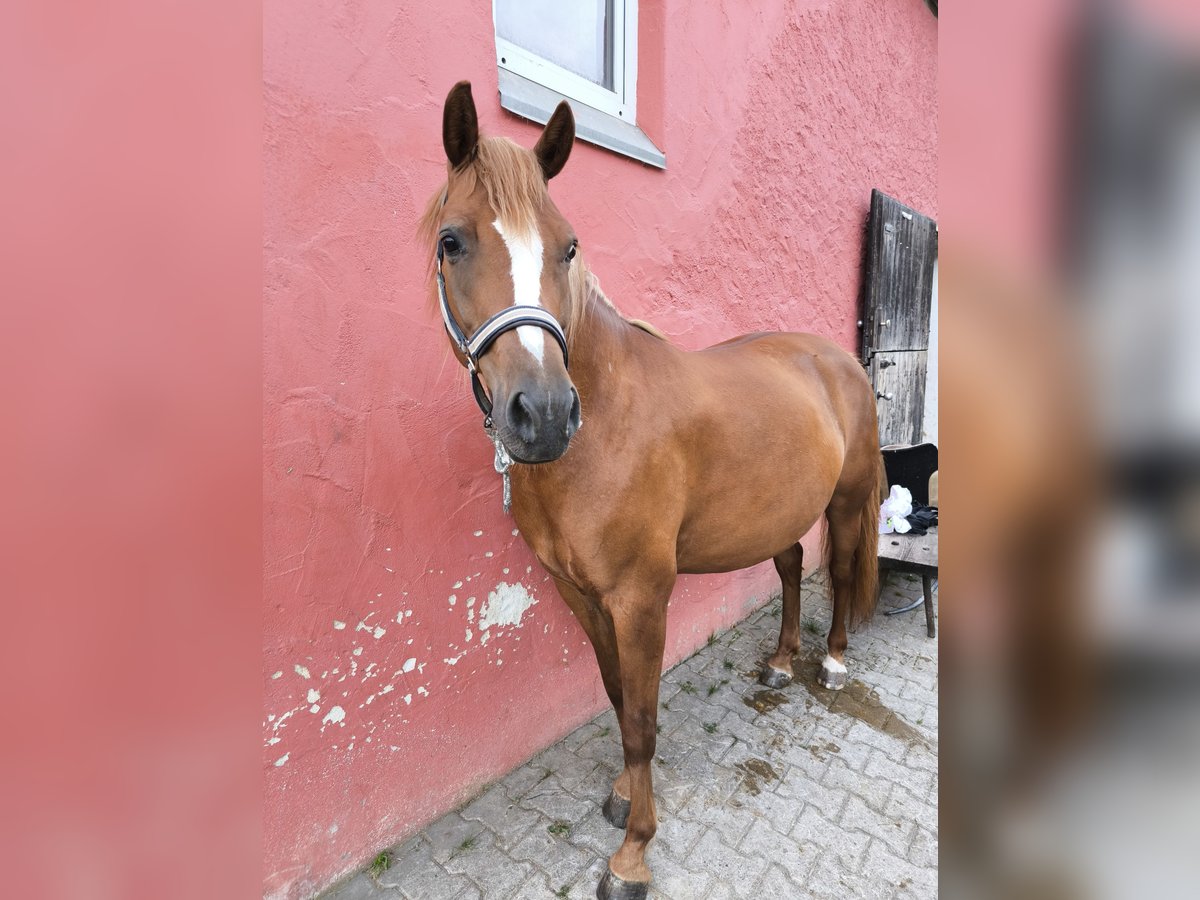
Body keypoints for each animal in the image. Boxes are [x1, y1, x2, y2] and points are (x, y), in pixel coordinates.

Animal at [422, 81, 883, 897]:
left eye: (569, 246)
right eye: (452, 241)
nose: (544, 414)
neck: (604, 425)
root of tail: (834, 359)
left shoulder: (641, 598)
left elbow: (641, 716)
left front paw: (634, 850)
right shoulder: (579, 593)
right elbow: (616, 697)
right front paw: (619, 796)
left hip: (847, 501)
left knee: (840, 569)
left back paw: (829, 660)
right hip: (777, 511)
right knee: (793, 565)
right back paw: (778, 660)